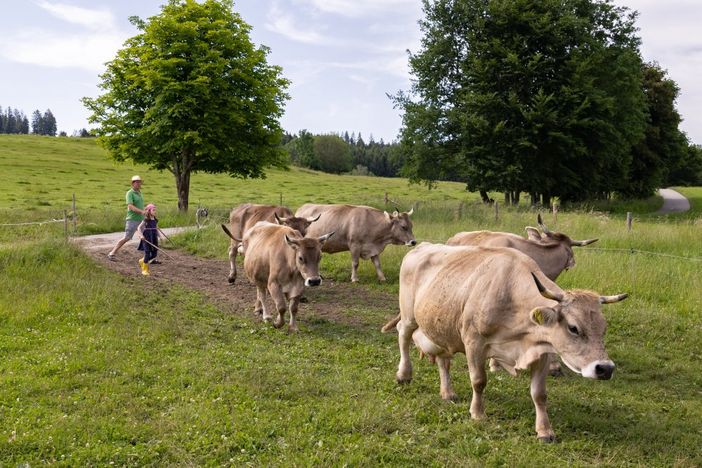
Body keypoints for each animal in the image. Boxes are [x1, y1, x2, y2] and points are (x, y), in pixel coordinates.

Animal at [382, 241, 628, 442]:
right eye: (574, 328)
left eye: (603, 328)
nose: (605, 368)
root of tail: (421, 246)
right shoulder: (474, 342)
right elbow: (479, 381)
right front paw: (478, 413)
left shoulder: (543, 352)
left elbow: (539, 394)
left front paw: (545, 431)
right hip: (409, 315)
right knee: (403, 336)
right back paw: (404, 374)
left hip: (441, 327)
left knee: (444, 360)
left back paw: (447, 392)